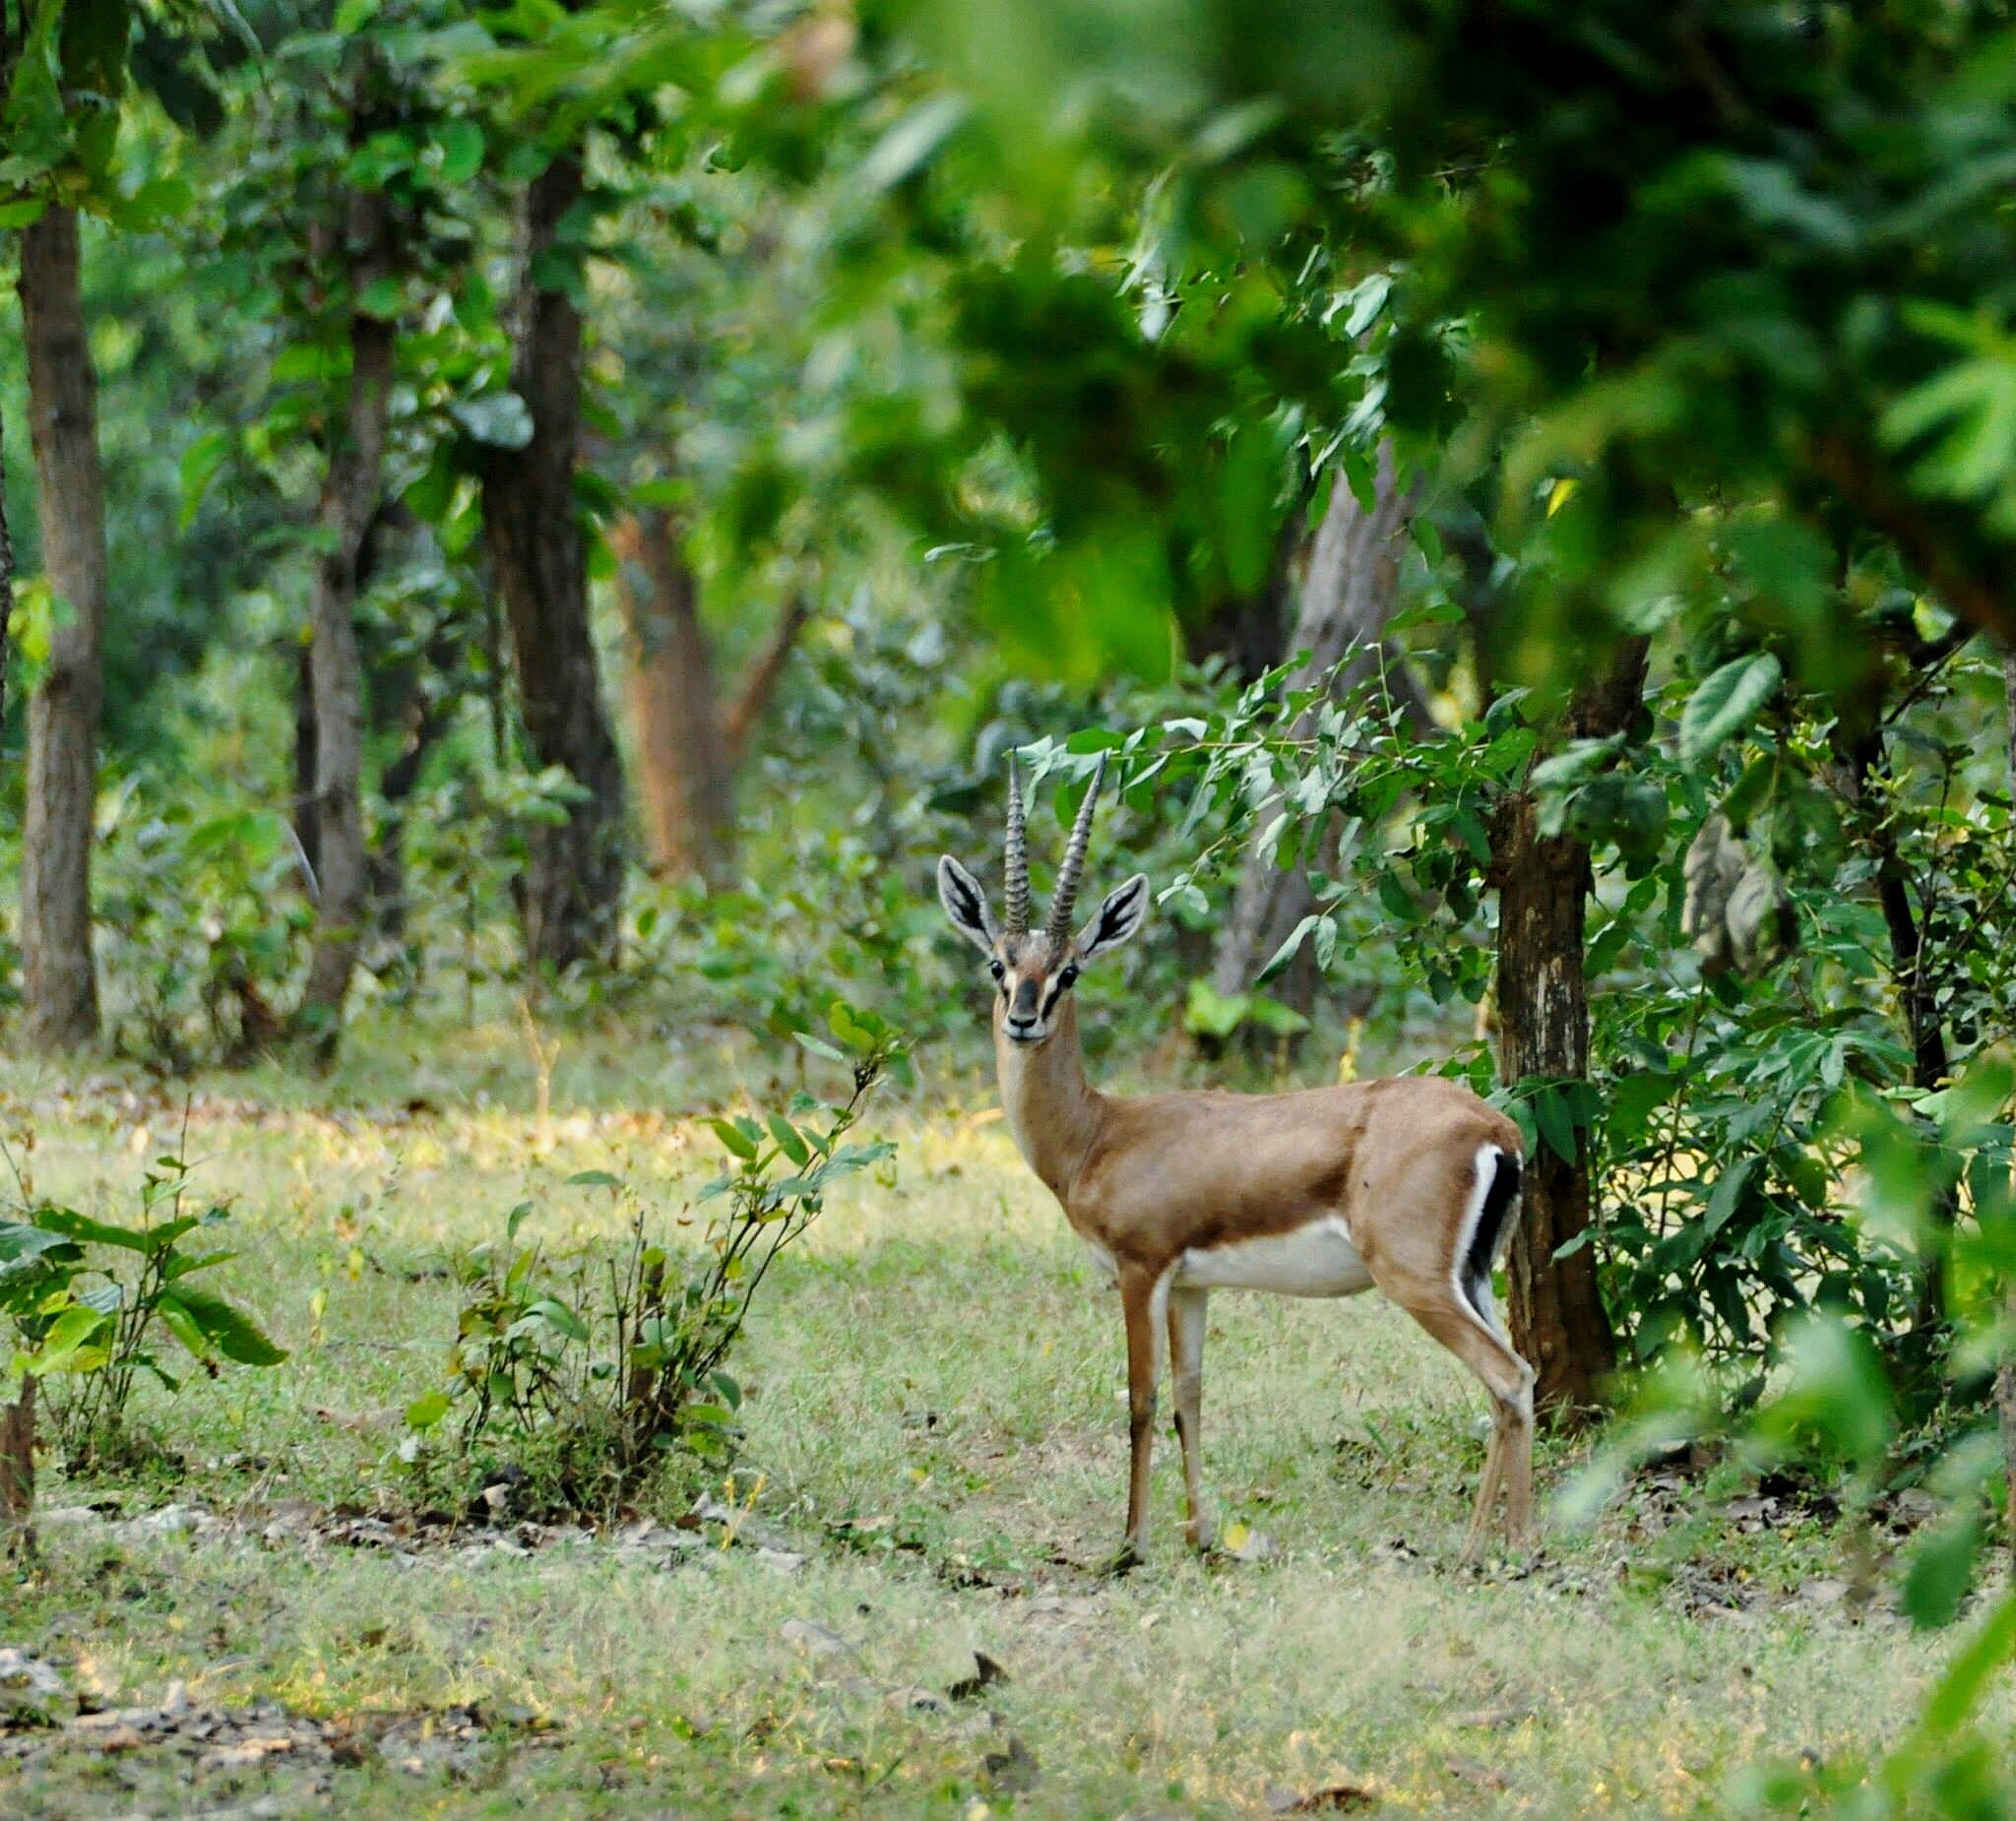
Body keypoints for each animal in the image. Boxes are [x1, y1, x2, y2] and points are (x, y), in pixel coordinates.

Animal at [937, 753, 1535, 1569]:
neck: (1100, 1132)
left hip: (1416, 1282)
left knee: (1509, 1378)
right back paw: (1509, 1544)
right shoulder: (1192, 1287)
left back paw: (1494, 1550)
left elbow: (1142, 1400)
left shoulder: (1141, 1272)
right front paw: (1199, 1537)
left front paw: (1130, 1546)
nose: (1024, 1020)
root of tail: (1496, 1128)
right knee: (1514, 1382)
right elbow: (1191, 1398)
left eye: (1070, 971)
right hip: (1470, 1279)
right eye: (999, 965)